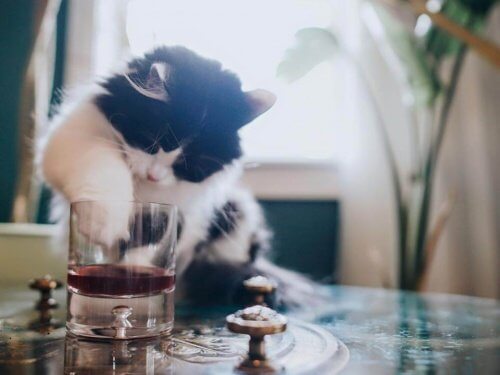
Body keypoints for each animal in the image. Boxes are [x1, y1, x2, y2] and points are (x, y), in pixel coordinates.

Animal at [39, 45, 314, 306]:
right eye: (150, 142)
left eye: (188, 165)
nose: (154, 175)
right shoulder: (73, 137)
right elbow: (105, 165)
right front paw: (105, 222)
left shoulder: (179, 209)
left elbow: (152, 242)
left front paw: (133, 282)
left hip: (237, 214)